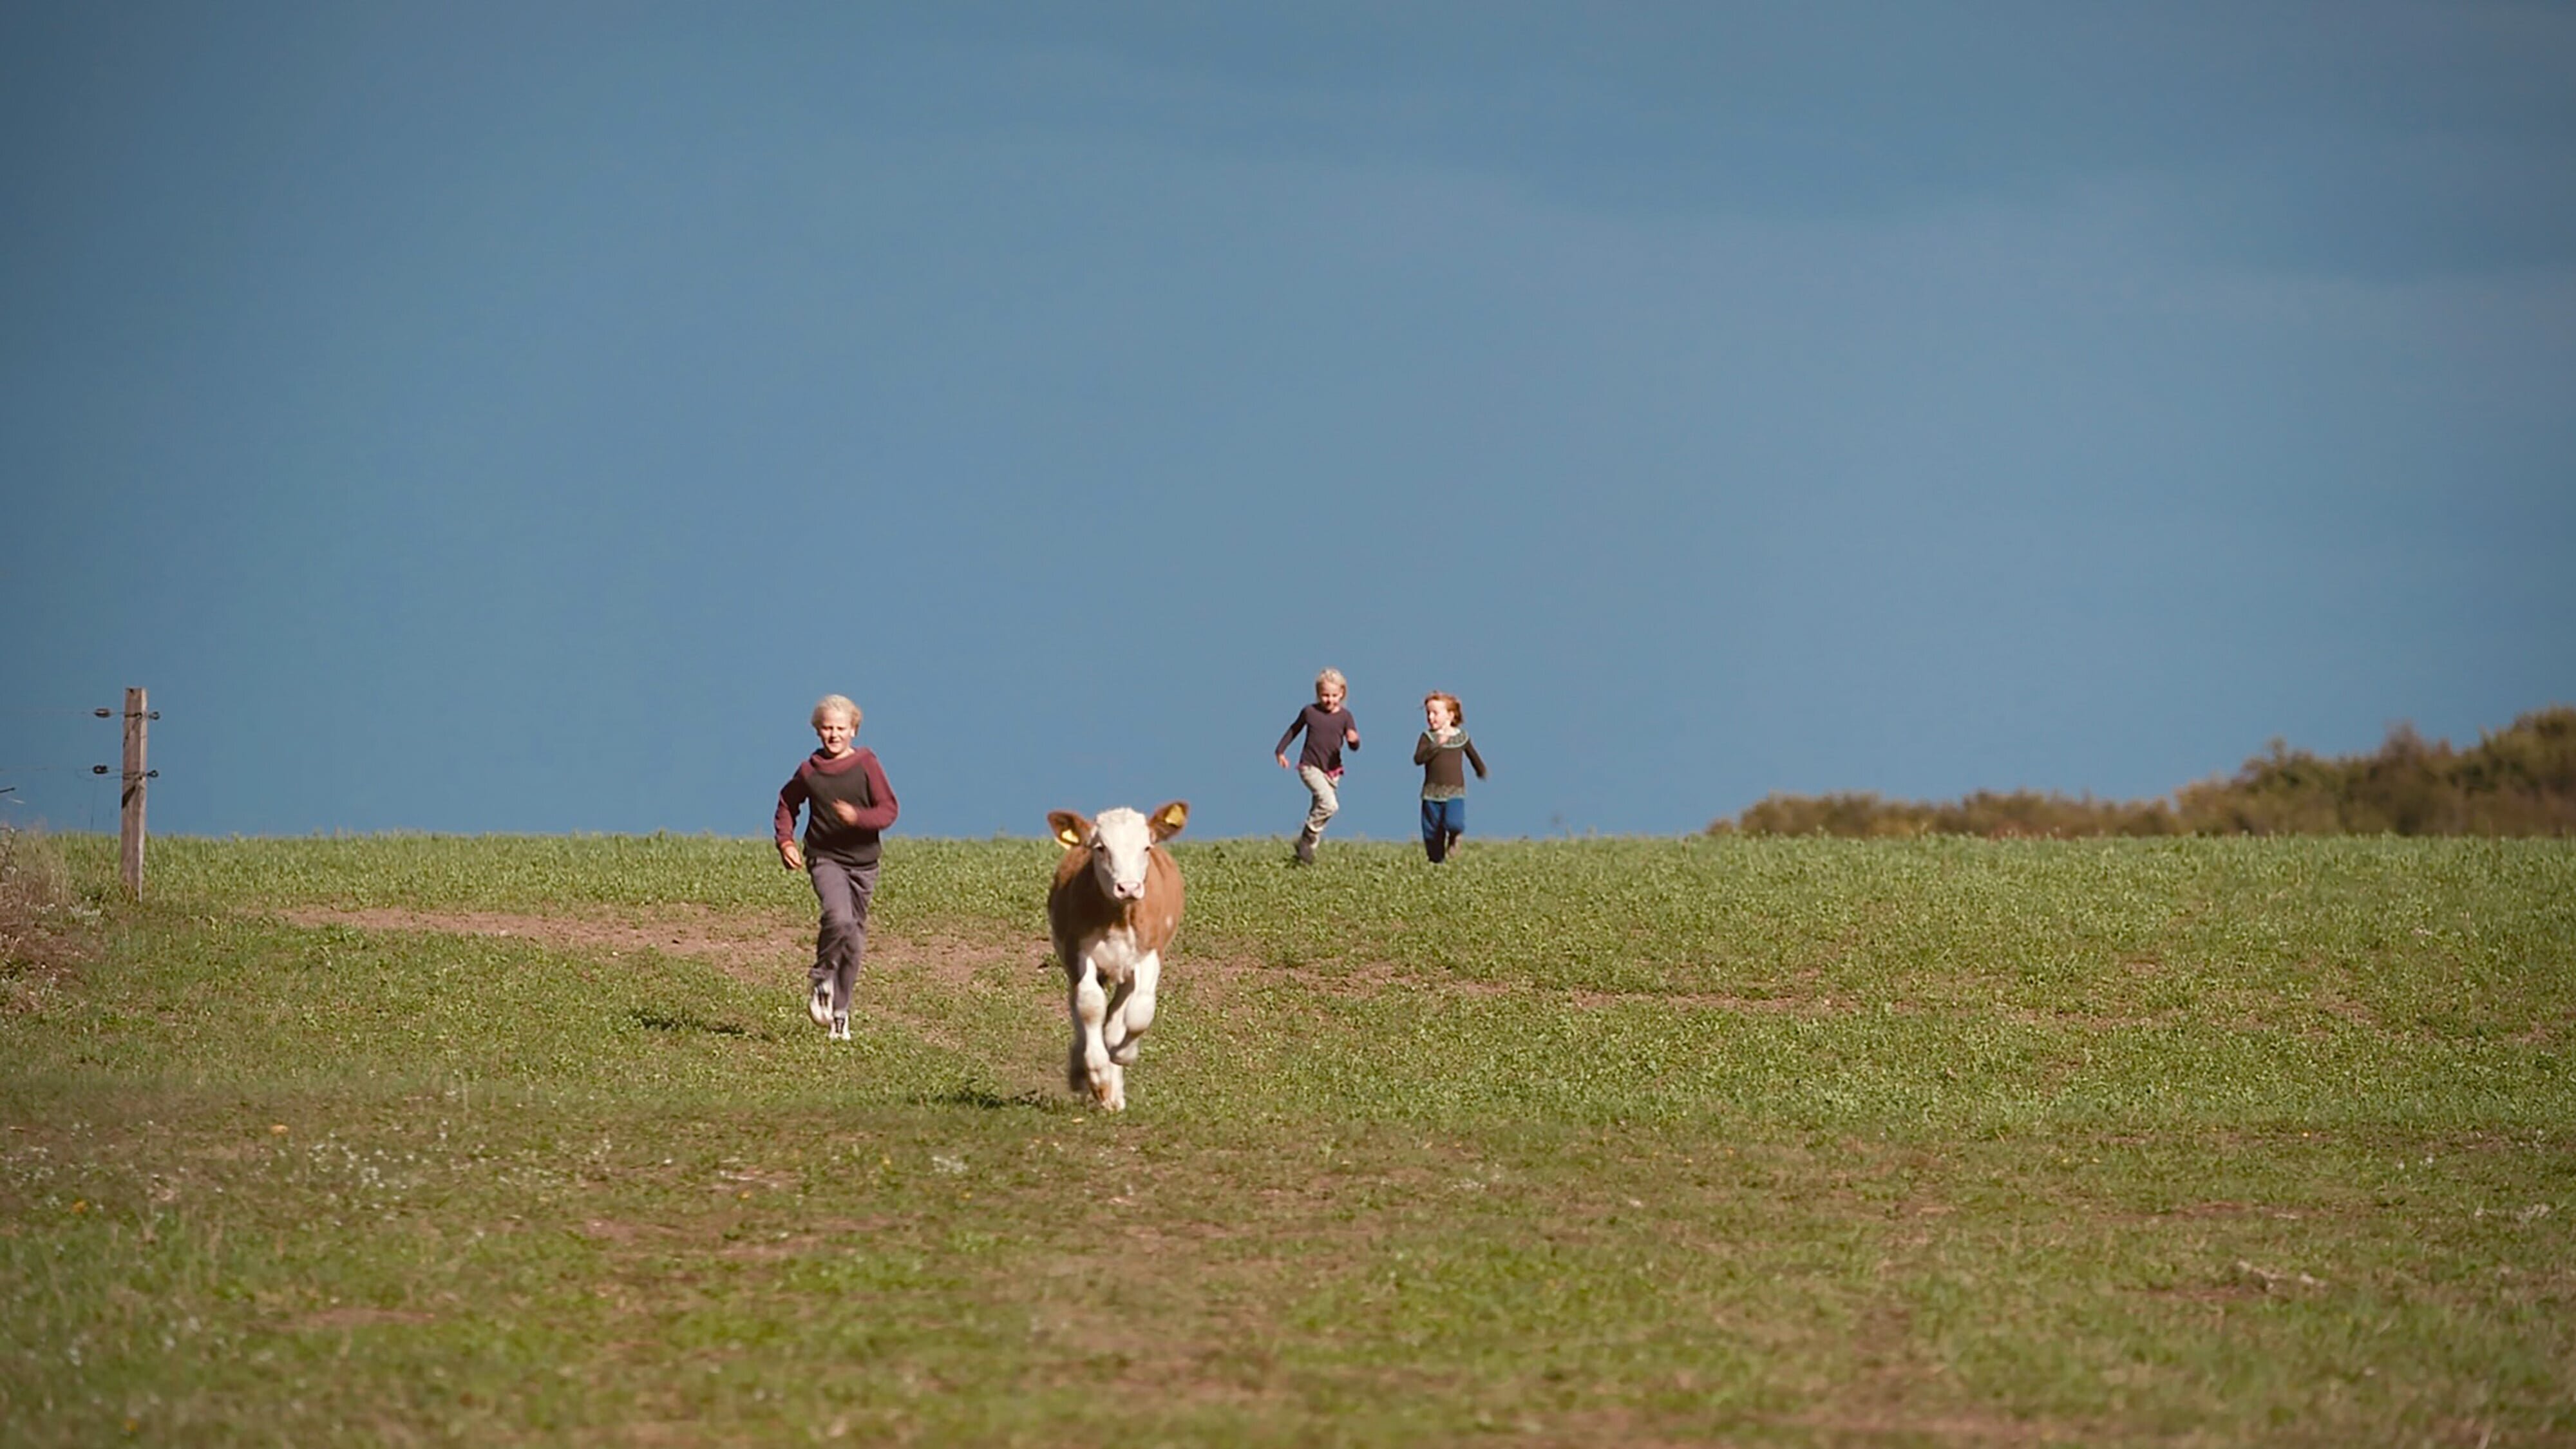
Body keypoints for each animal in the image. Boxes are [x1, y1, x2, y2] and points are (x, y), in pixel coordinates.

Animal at [1041, 799, 1190, 1103]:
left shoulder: (1150, 953)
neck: (1119, 918)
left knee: (1117, 1018)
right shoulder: (1079, 953)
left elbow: (1140, 1011)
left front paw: (1123, 1056)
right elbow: (1089, 1005)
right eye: (1101, 847)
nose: (1129, 887)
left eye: (1147, 847)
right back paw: (1083, 1072)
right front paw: (1097, 1075)